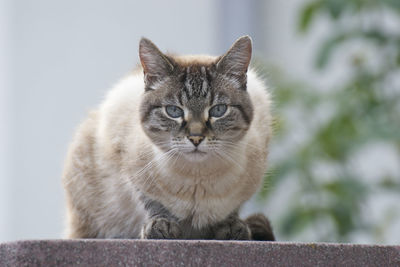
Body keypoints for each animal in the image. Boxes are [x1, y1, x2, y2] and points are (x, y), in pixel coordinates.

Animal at [62, 34, 276, 242]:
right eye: (173, 111)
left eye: (218, 110)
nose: (196, 138)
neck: (197, 178)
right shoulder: (127, 161)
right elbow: (153, 203)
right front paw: (161, 227)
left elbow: (232, 209)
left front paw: (231, 227)